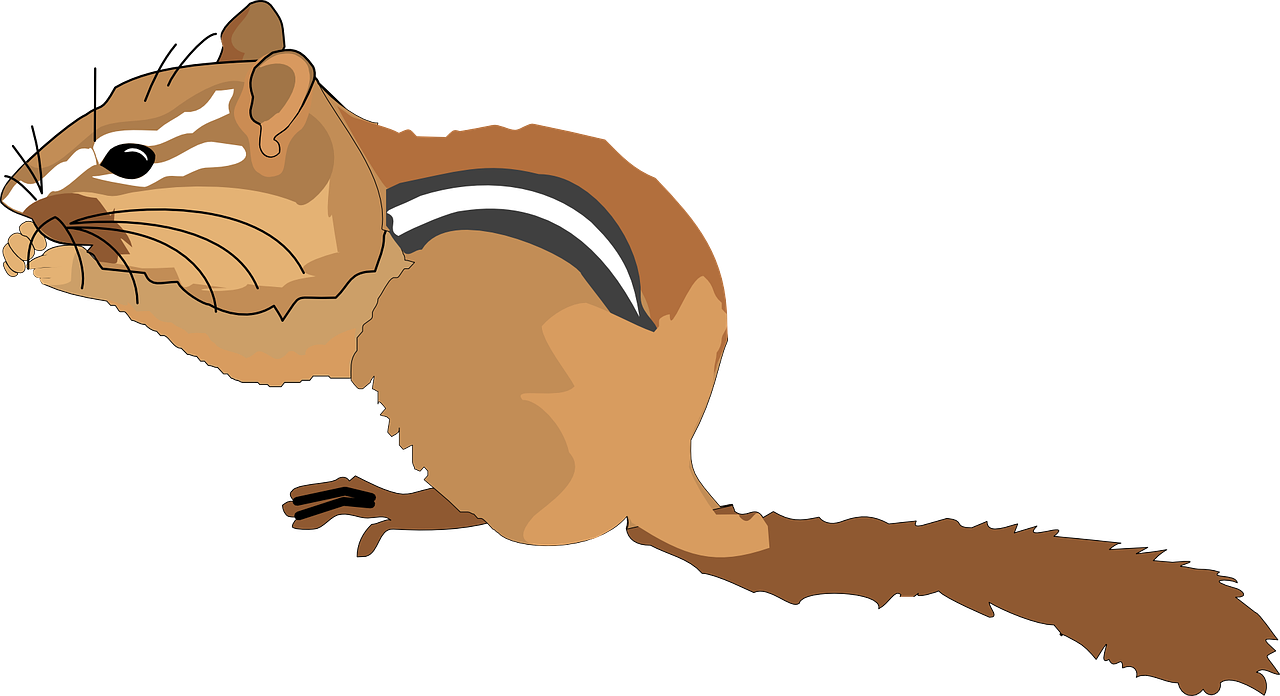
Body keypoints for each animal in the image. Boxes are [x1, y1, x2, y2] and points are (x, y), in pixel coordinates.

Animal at [2, 3, 1273, 693]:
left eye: (131, 160)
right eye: (108, 99)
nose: (13, 190)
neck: (348, 170)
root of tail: (665, 476)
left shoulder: (323, 290)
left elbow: (260, 348)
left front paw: (64, 260)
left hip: (471, 421)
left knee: (542, 531)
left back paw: (405, 507)